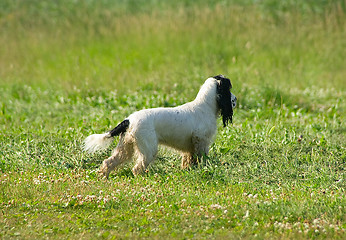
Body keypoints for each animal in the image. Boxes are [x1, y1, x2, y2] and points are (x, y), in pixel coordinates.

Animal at [82, 75, 237, 178]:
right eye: (228, 88)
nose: (235, 99)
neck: (204, 106)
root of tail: (129, 120)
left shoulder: (190, 148)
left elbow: (188, 161)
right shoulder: (201, 142)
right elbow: (201, 159)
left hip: (126, 148)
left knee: (109, 162)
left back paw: (103, 176)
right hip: (148, 149)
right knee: (137, 168)